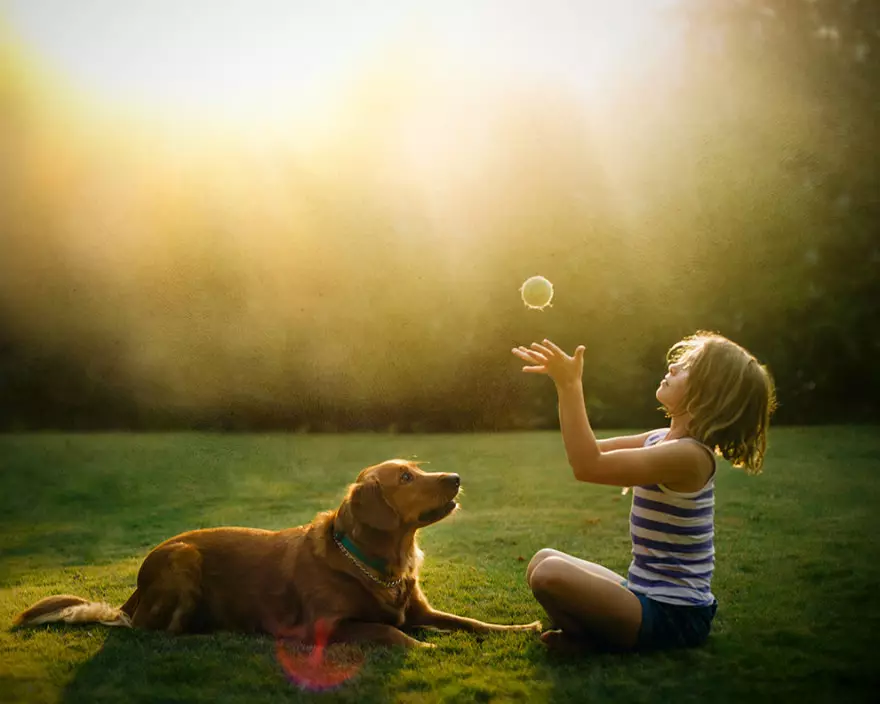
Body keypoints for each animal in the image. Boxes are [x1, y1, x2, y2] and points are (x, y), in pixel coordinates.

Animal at [15, 460, 544, 648]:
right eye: (406, 477)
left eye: (417, 469)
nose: (455, 477)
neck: (377, 564)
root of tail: (135, 590)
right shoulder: (324, 626)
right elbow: (386, 631)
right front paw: (425, 646)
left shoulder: (421, 609)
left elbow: (471, 622)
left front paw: (522, 627)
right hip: (184, 559)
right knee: (154, 630)